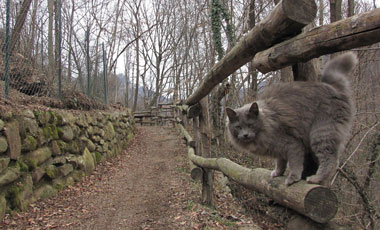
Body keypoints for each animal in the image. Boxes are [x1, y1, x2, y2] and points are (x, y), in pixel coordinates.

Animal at [227, 53, 358, 186]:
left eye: (250, 125)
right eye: (238, 127)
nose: (245, 135)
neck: (267, 123)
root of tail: (333, 88)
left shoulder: (292, 144)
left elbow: (295, 164)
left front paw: (293, 178)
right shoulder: (279, 149)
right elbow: (280, 161)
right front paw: (277, 173)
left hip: (321, 132)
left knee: (330, 160)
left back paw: (316, 179)